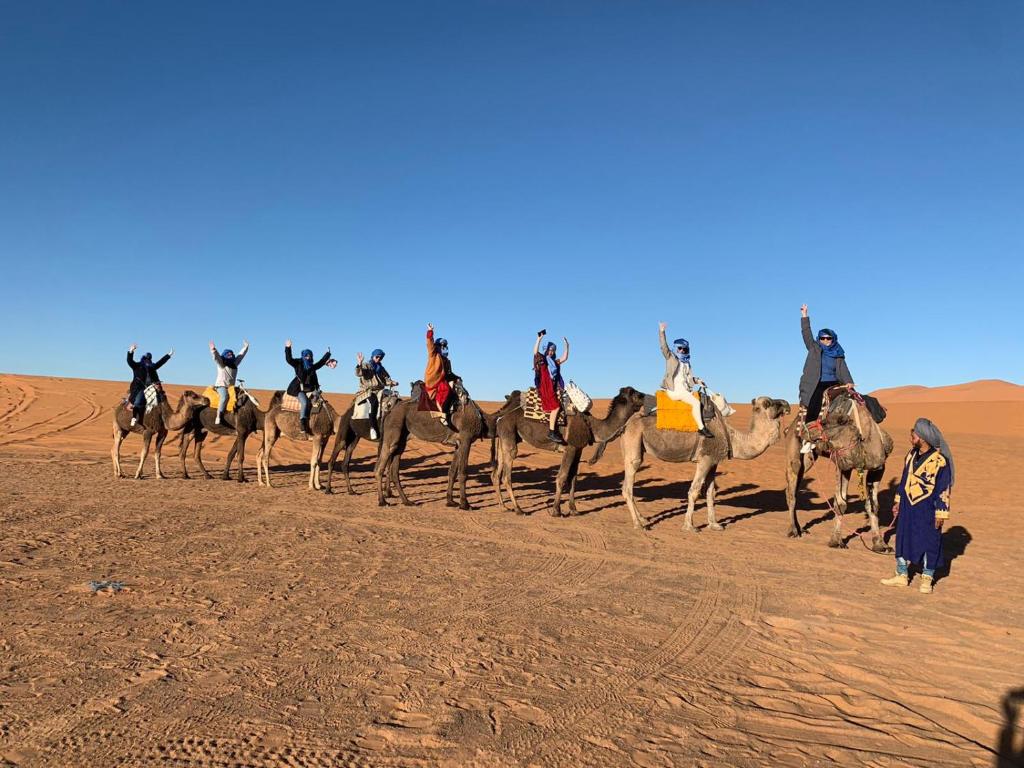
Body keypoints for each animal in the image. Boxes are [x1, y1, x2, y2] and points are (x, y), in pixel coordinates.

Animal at [376, 378, 520, 512]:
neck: (483, 420)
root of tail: (388, 410)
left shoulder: (458, 444)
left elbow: (452, 471)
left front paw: (450, 501)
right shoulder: (466, 439)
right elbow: (463, 472)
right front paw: (465, 504)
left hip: (402, 438)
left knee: (394, 469)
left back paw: (407, 501)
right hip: (393, 432)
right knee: (380, 466)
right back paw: (383, 501)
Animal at [491, 387, 643, 520]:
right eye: (634, 393)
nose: (644, 396)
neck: (592, 425)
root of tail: (501, 416)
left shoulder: (578, 449)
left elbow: (573, 478)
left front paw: (574, 510)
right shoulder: (570, 448)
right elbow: (562, 477)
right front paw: (556, 511)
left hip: (505, 438)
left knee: (496, 475)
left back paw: (503, 507)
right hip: (509, 433)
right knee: (506, 476)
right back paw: (518, 509)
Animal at [614, 399, 790, 532]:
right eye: (769, 403)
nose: (787, 404)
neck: (731, 437)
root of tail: (626, 424)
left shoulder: (713, 463)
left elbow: (710, 493)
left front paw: (715, 524)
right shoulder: (704, 460)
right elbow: (694, 491)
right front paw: (689, 526)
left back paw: (643, 519)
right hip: (633, 443)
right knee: (628, 486)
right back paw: (638, 524)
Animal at [786, 393, 892, 548]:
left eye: (825, 423)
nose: (804, 430)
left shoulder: (877, 468)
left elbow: (873, 505)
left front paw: (879, 544)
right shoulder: (842, 466)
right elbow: (841, 504)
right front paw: (836, 541)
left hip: (809, 459)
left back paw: (798, 529)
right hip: (795, 456)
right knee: (791, 491)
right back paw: (794, 530)